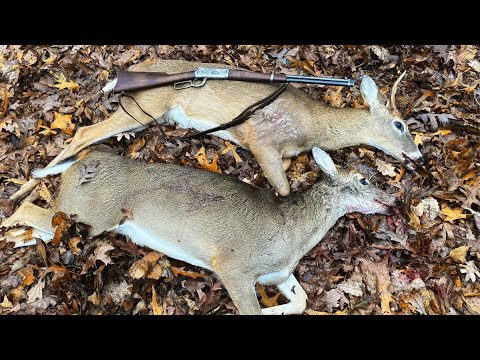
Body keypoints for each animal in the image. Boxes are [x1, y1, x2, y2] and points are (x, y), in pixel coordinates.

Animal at [1, 146, 396, 316]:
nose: (391, 199)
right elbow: (252, 311)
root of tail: (81, 160)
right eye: (363, 179)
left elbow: (300, 302)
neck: (292, 236)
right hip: (92, 213)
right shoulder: (233, 266)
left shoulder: (277, 272)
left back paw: (19, 237)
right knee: (28, 207)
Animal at [9, 58, 422, 200]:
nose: (417, 154)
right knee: (83, 134)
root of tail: (123, 75)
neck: (315, 126)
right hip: (148, 109)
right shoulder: (261, 138)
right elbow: (284, 188)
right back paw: (24, 189)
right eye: (400, 123)